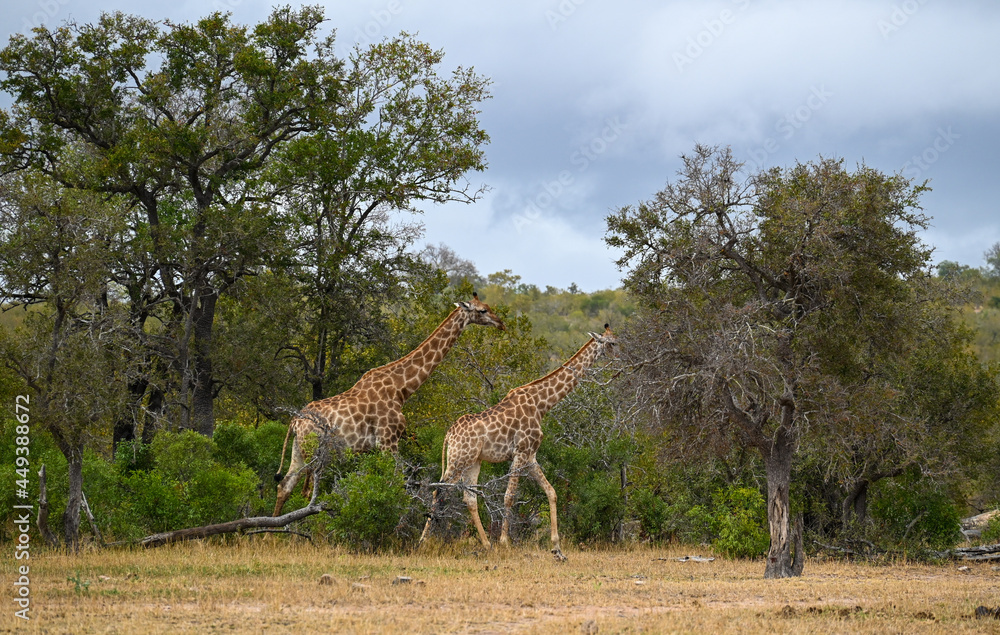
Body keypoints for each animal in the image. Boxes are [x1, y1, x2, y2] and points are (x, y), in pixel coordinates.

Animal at [273, 293, 505, 516]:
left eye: (488, 306)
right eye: (483, 310)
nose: (501, 323)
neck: (400, 388)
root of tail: (294, 422)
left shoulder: (377, 446)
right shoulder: (388, 441)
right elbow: (396, 483)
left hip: (298, 450)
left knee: (285, 485)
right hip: (316, 453)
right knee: (306, 492)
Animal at [419, 324, 617, 561]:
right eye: (612, 343)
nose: (618, 360)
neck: (542, 404)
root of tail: (449, 434)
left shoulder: (531, 456)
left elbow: (551, 492)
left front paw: (557, 548)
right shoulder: (520, 452)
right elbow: (509, 496)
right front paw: (505, 542)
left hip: (472, 462)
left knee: (468, 498)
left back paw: (487, 545)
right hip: (458, 460)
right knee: (438, 491)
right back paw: (422, 542)